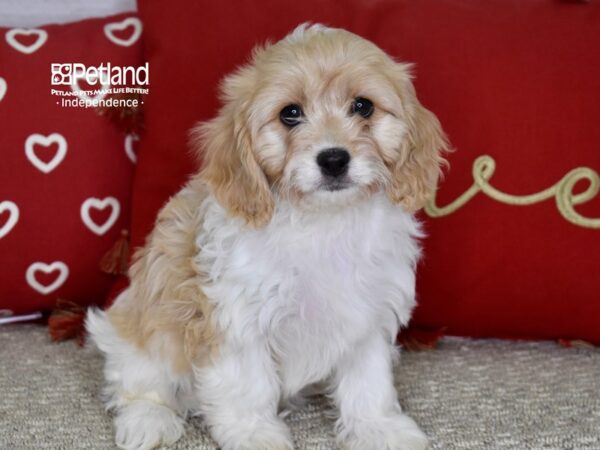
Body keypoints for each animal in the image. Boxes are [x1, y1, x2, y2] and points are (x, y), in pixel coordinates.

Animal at [86, 23, 448, 450]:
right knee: (140, 383)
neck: (323, 221)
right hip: (145, 328)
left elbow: (368, 380)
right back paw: (149, 422)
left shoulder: (368, 312)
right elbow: (248, 384)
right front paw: (254, 433)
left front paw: (379, 428)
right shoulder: (237, 316)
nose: (333, 159)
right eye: (290, 113)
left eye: (363, 106)